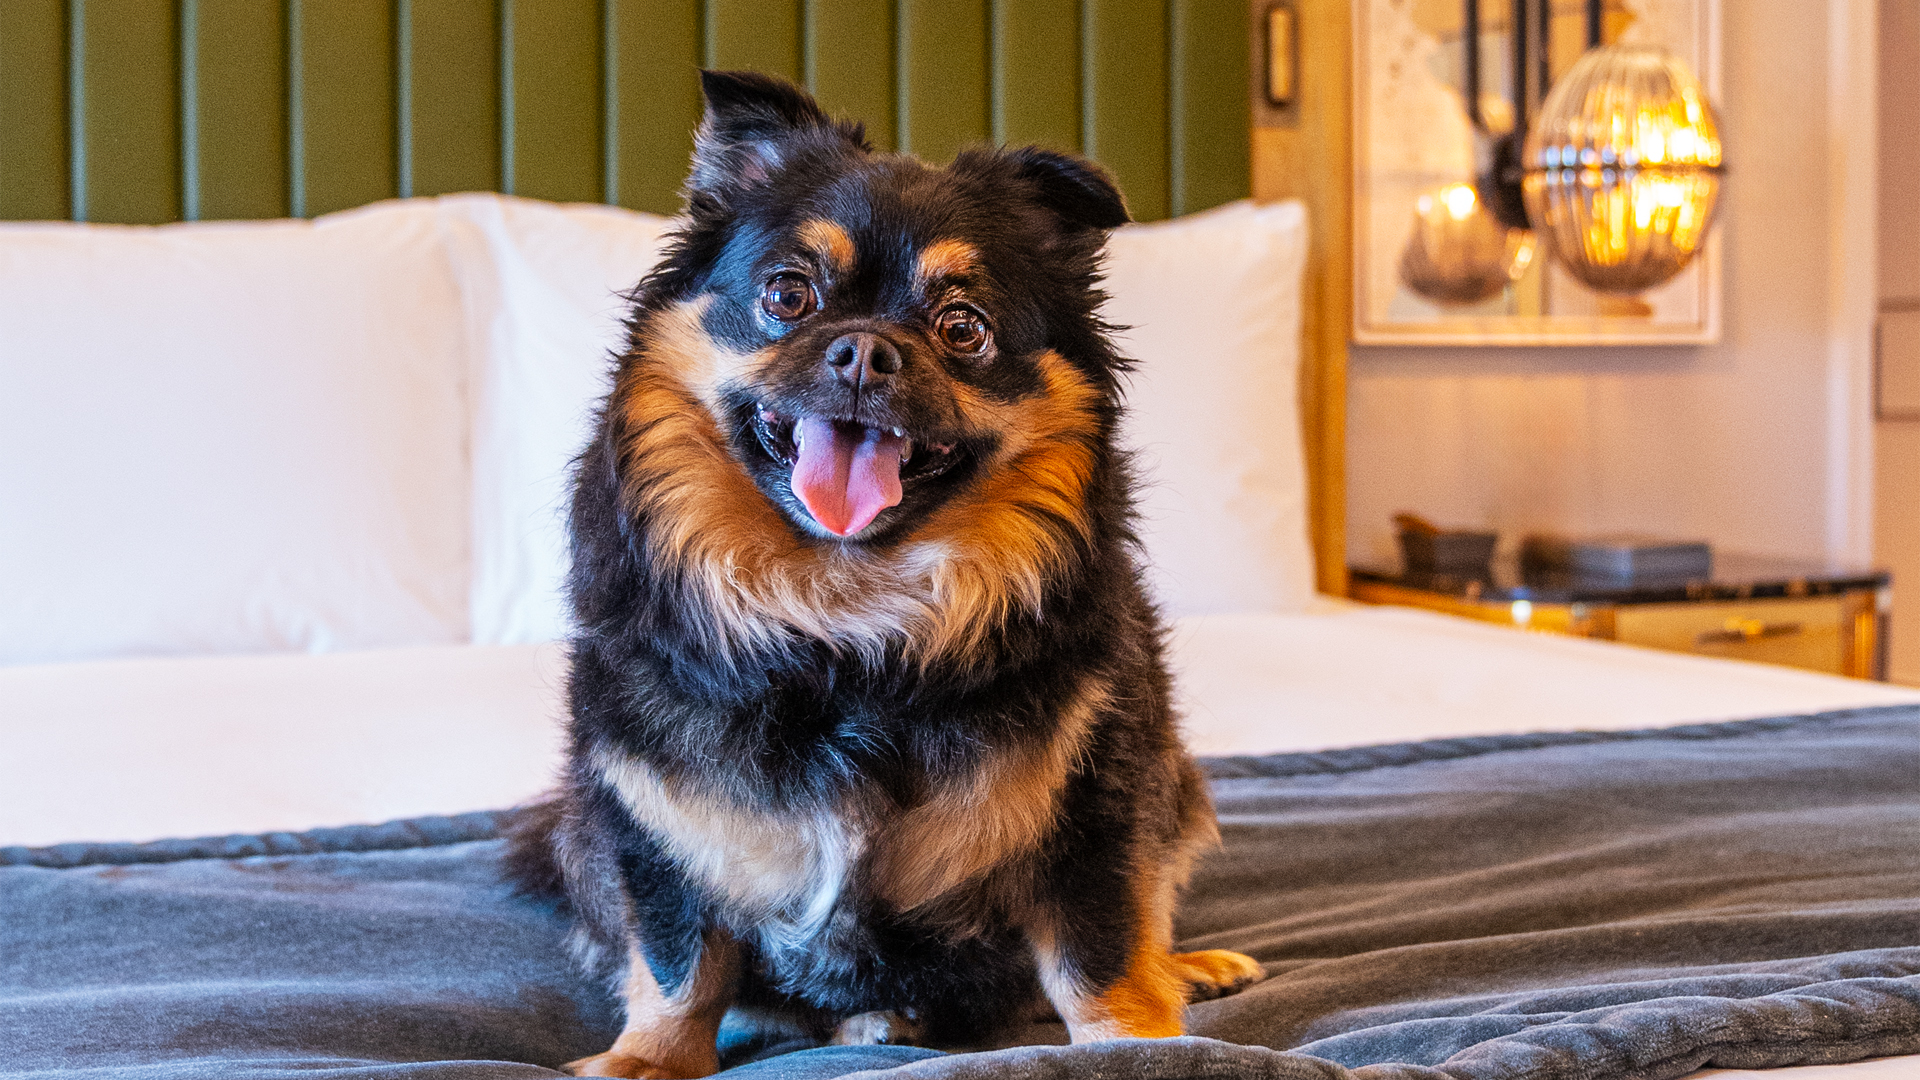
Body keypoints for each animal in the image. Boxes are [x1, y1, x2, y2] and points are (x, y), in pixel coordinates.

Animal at [503, 69, 1267, 1076]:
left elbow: (1098, 954)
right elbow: (678, 959)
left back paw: (1190, 966)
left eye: (963, 328)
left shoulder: (1096, 802)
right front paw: (649, 1058)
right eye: (788, 294)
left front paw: (1132, 1045)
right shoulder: (655, 817)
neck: (849, 614)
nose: (866, 348)